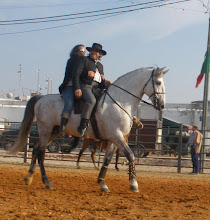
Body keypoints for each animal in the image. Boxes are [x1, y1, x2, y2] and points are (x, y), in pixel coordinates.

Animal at [10, 66, 167, 192]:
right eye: (158, 82)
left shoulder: (114, 139)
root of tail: (41, 98)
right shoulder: (117, 136)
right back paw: (47, 182)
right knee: (41, 152)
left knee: (36, 149)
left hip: (52, 132)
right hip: (45, 129)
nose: (162, 105)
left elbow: (107, 160)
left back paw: (29, 177)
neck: (119, 101)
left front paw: (102, 183)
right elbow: (130, 155)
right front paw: (133, 184)